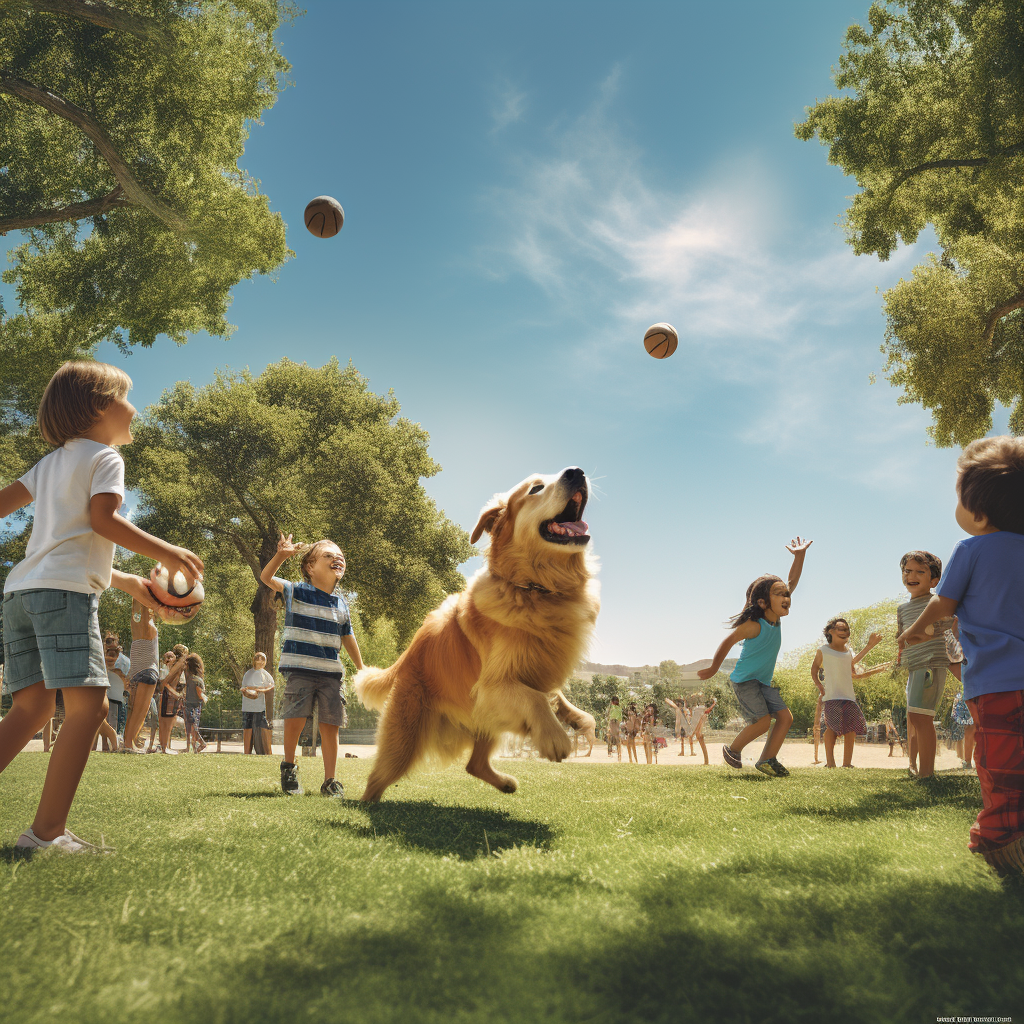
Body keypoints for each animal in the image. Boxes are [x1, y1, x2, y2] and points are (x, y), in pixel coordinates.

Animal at [356, 468, 602, 802]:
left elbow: (552, 693)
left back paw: (505, 782)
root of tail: (408, 653)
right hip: (405, 736)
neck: (535, 589)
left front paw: (576, 717)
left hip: (482, 721)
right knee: (375, 780)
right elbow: (535, 697)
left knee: (474, 764)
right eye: (536, 488)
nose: (576, 472)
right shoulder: (491, 687)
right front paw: (554, 736)